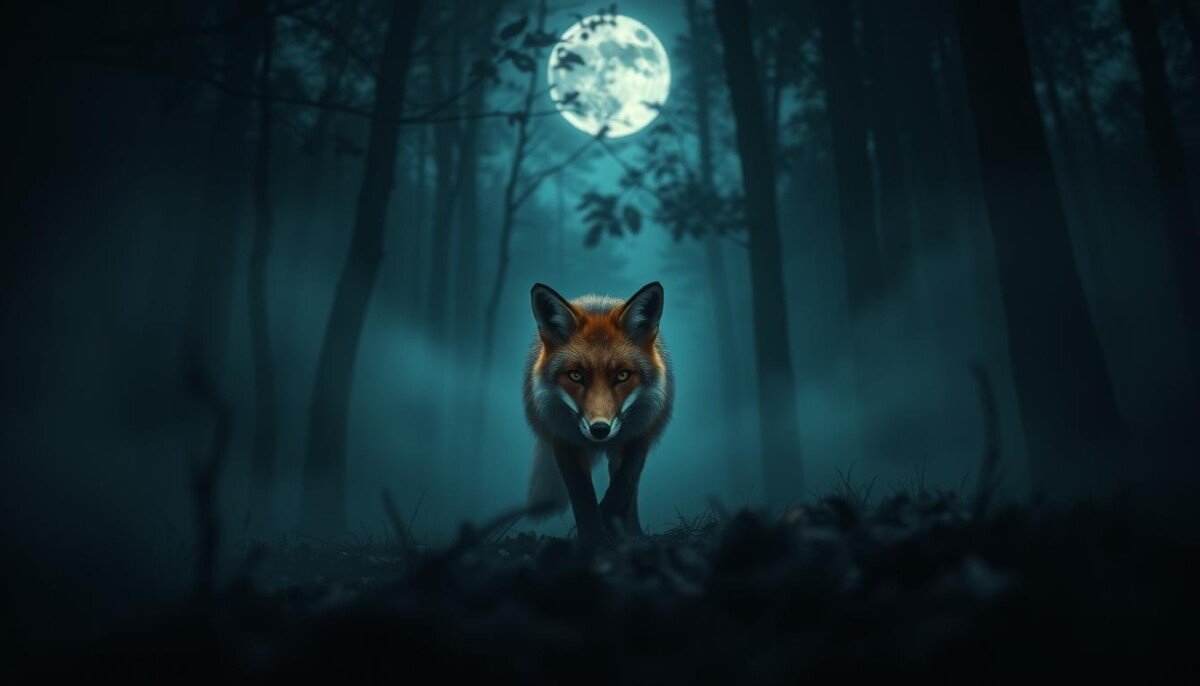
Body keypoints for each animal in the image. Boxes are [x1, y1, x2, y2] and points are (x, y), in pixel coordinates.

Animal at [523, 281, 674, 543]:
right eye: (576, 375)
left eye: (622, 375)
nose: (600, 429)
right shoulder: (563, 439)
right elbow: (582, 497)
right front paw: (594, 539)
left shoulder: (639, 433)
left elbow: (626, 483)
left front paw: (610, 516)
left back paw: (632, 534)